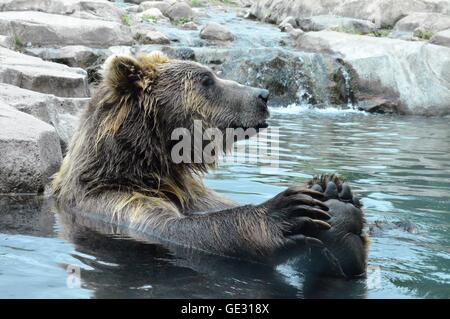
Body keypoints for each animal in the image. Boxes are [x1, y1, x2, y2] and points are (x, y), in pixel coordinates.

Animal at [51, 51, 370, 278]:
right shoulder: (115, 202)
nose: (263, 95)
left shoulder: (197, 196)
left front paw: (336, 198)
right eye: (206, 80)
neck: (153, 167)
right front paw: (287, 211)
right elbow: (176, 229)